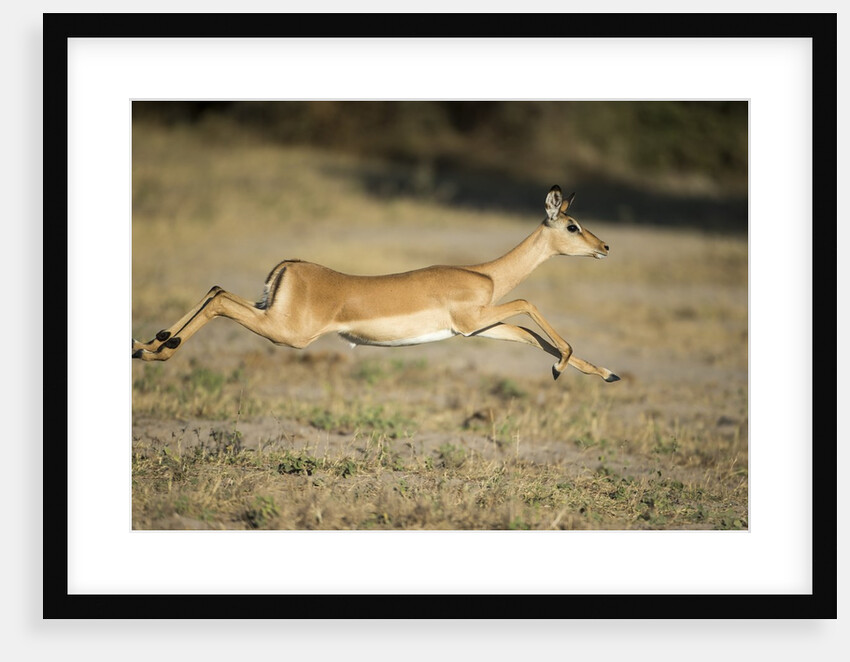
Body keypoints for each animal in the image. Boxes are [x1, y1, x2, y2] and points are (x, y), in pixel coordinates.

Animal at [132, 185, 619, 382]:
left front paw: (606, 373)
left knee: (215, 290)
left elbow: (532, 337)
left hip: (270, 313)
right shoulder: (474, 319)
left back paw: (147, 344)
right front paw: (563, 368)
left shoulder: (479, 328)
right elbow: (530, 307)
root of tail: (289, 265)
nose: (605, 247)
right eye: (572, 225)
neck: (486, 274)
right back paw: (158, 352)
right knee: (218, 301)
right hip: (287, 332)